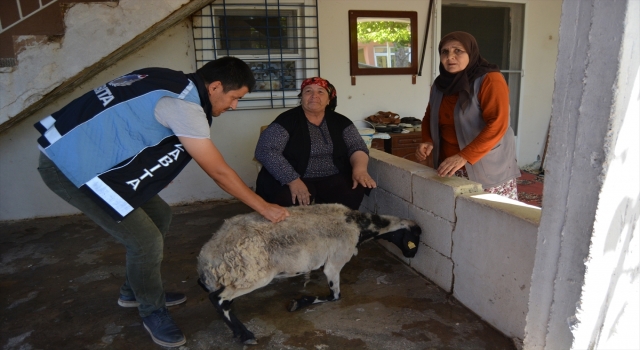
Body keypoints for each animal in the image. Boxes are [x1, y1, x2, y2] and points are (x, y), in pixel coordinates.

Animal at [198, 202, 422, 344]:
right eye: (415, 238)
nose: (412, 254)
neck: (358, 225)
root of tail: (207, 260)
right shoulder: (335, 261)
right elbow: (335, 296)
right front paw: (299, 303)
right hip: (251, 274)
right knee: (218, 299)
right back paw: (245, 335)